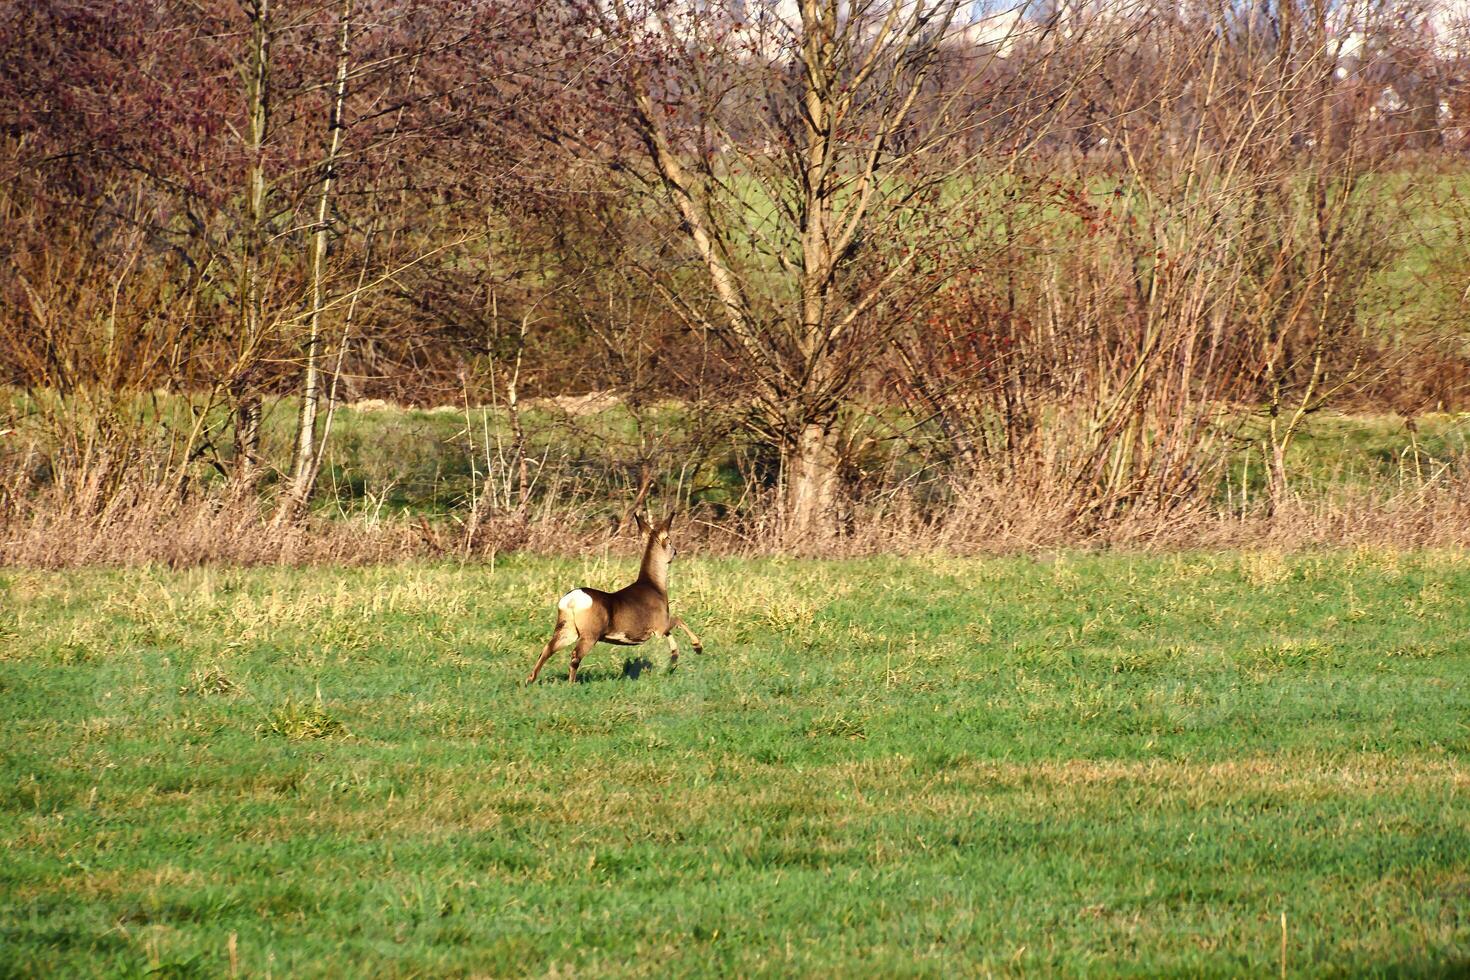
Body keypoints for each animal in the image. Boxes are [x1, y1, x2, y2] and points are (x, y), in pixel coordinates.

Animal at [526, 511, 702, 687]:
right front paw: (697, 646)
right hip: (590, 633)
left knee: (547, 648)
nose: (676, 551)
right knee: (575, 655)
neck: (655, 586)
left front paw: (674, 656)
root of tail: (572, 600)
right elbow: (678, 620)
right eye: (670, 541)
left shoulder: (660, 627)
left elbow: (671, 632)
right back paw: (571, 684)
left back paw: (530, 680)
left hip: (567, 628)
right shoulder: (659, 623)